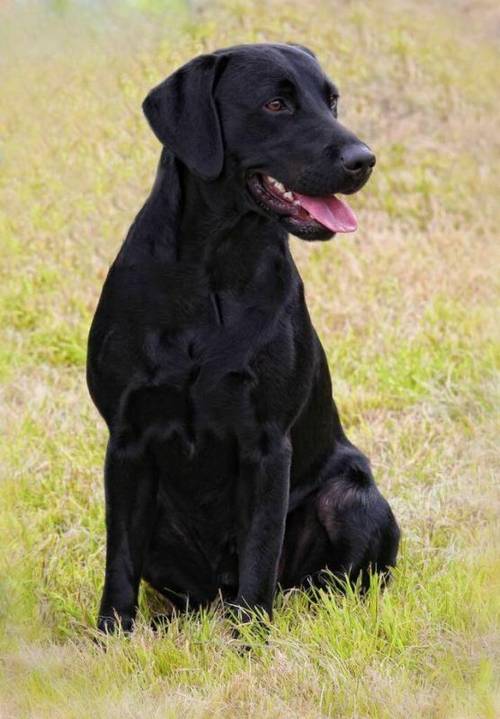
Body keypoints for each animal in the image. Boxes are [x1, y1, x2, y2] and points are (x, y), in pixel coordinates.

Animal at [86, 43, 398, 636]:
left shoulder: (266, 443)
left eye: (332, 100)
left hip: (352, 497)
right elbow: (120, 562)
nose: (364, 160)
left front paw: (251, 642)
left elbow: (259, 557)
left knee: (325, 581)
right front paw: (111, 636)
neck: (213, 270)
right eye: (276, 103)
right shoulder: (128, 440)